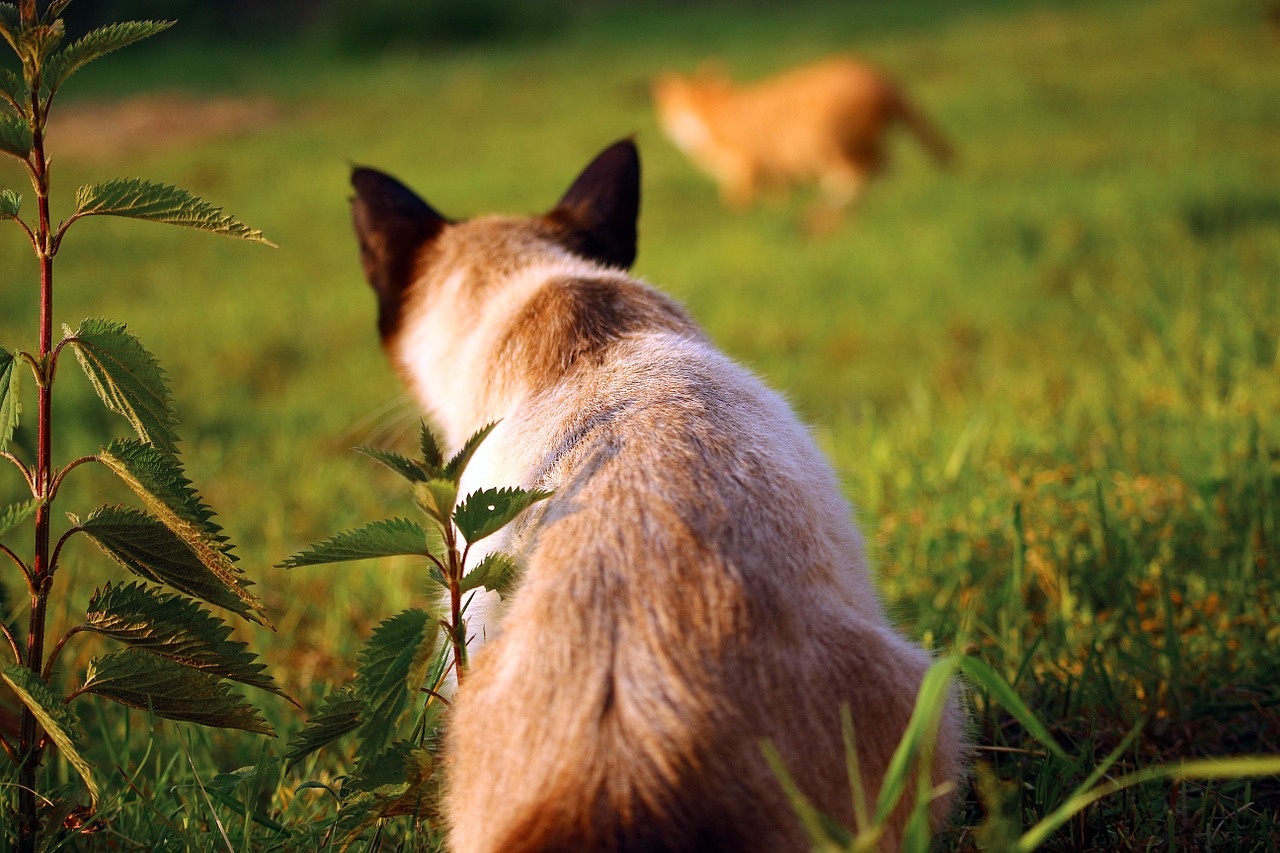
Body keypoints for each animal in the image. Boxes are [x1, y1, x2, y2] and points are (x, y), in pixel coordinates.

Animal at [650, 56, 952, 208]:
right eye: (682, 108)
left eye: (697, 107)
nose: (689, 123)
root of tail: (877, 74)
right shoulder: (768, 175)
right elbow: (774, 197)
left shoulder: (744, 169)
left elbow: (737, 203)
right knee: (886, 169)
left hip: (828, 140)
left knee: (862, 172)